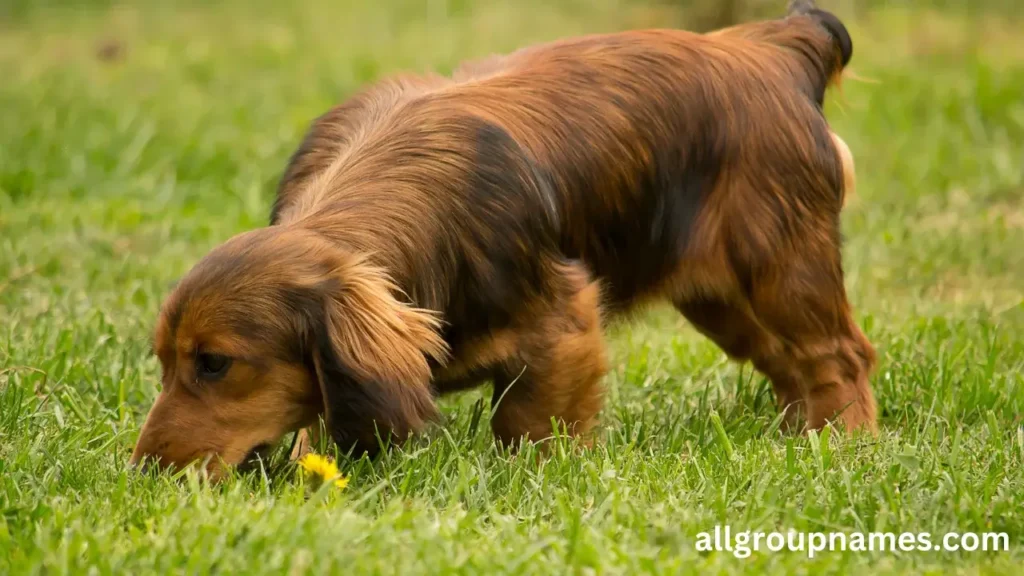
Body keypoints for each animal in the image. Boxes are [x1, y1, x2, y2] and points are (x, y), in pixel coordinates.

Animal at [132, 1, 876, 475]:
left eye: (215, 363)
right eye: (163, 361)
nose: (144, 475)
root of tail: (776, 44)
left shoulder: (562, 323)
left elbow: (524, 424)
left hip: (781, 267)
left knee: (841, 355)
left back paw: (844, 446)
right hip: (721, 299)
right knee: (788, 364)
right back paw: (793, 438)